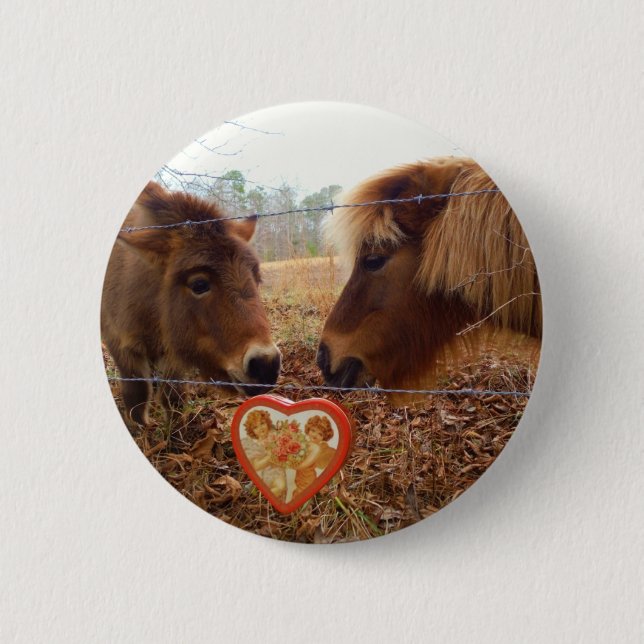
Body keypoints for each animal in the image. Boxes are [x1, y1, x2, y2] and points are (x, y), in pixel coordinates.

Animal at [101, 181, 281, 425]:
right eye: (199, 284)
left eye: (257, 279)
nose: (266, 365)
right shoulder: (119, 344)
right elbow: (136, 396)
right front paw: (143, 429)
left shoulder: (173, 349)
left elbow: (172, 395)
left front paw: (176, 428)